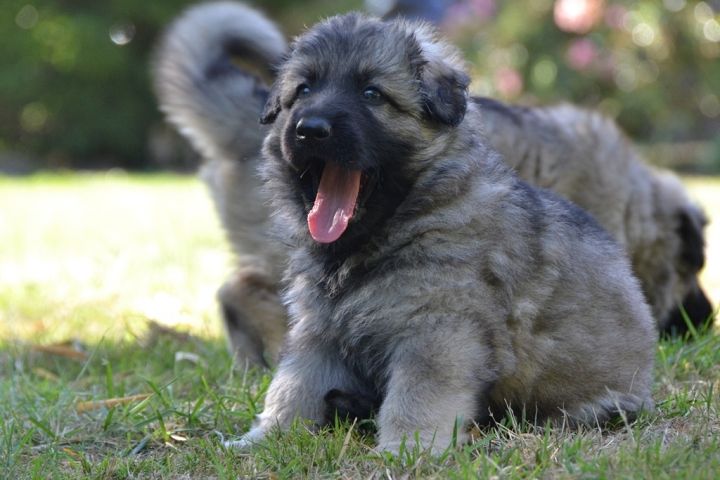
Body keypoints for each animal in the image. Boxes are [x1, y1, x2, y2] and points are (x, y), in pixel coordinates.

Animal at [215, 12, 657, 454]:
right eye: (303, 90)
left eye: (372, 94)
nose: (310, 128)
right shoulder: (318, 327)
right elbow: (294, 385)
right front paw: (264, 437)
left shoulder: (436, 330)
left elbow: (416, 396)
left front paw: (404, 449)